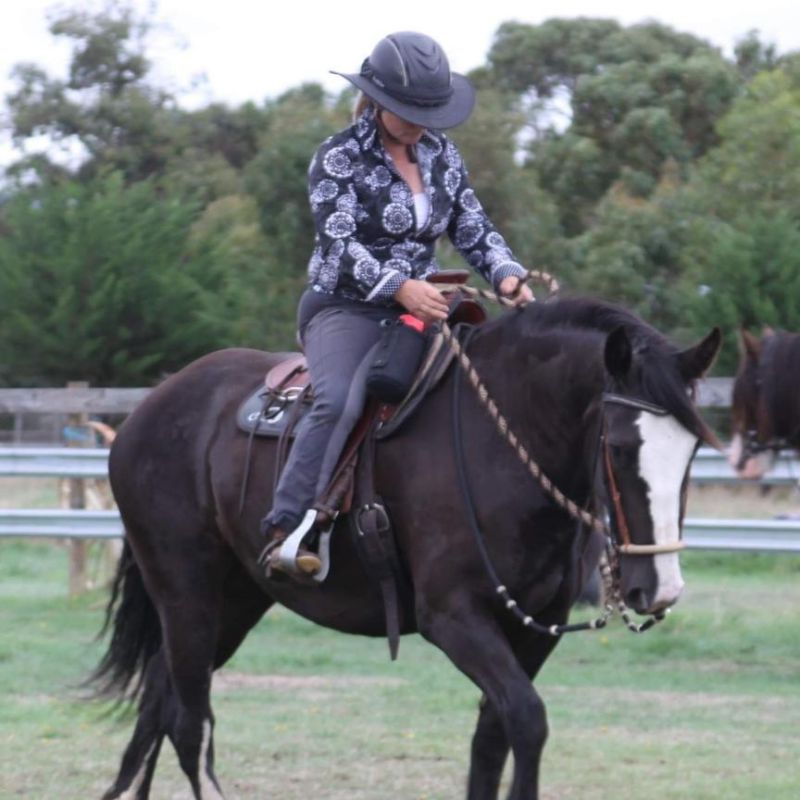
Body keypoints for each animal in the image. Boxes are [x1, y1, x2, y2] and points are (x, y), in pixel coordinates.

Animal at [90, 297, 720, 800]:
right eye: (619, 447)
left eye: (692, 450)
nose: (658, 587)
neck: (501, 444)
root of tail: (147, 410)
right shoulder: (453, 617)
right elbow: (527, 720)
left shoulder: (537, 624)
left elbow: (493, 739)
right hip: (186, 592)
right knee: (189, 723)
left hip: (235, 599)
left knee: (160, 703)